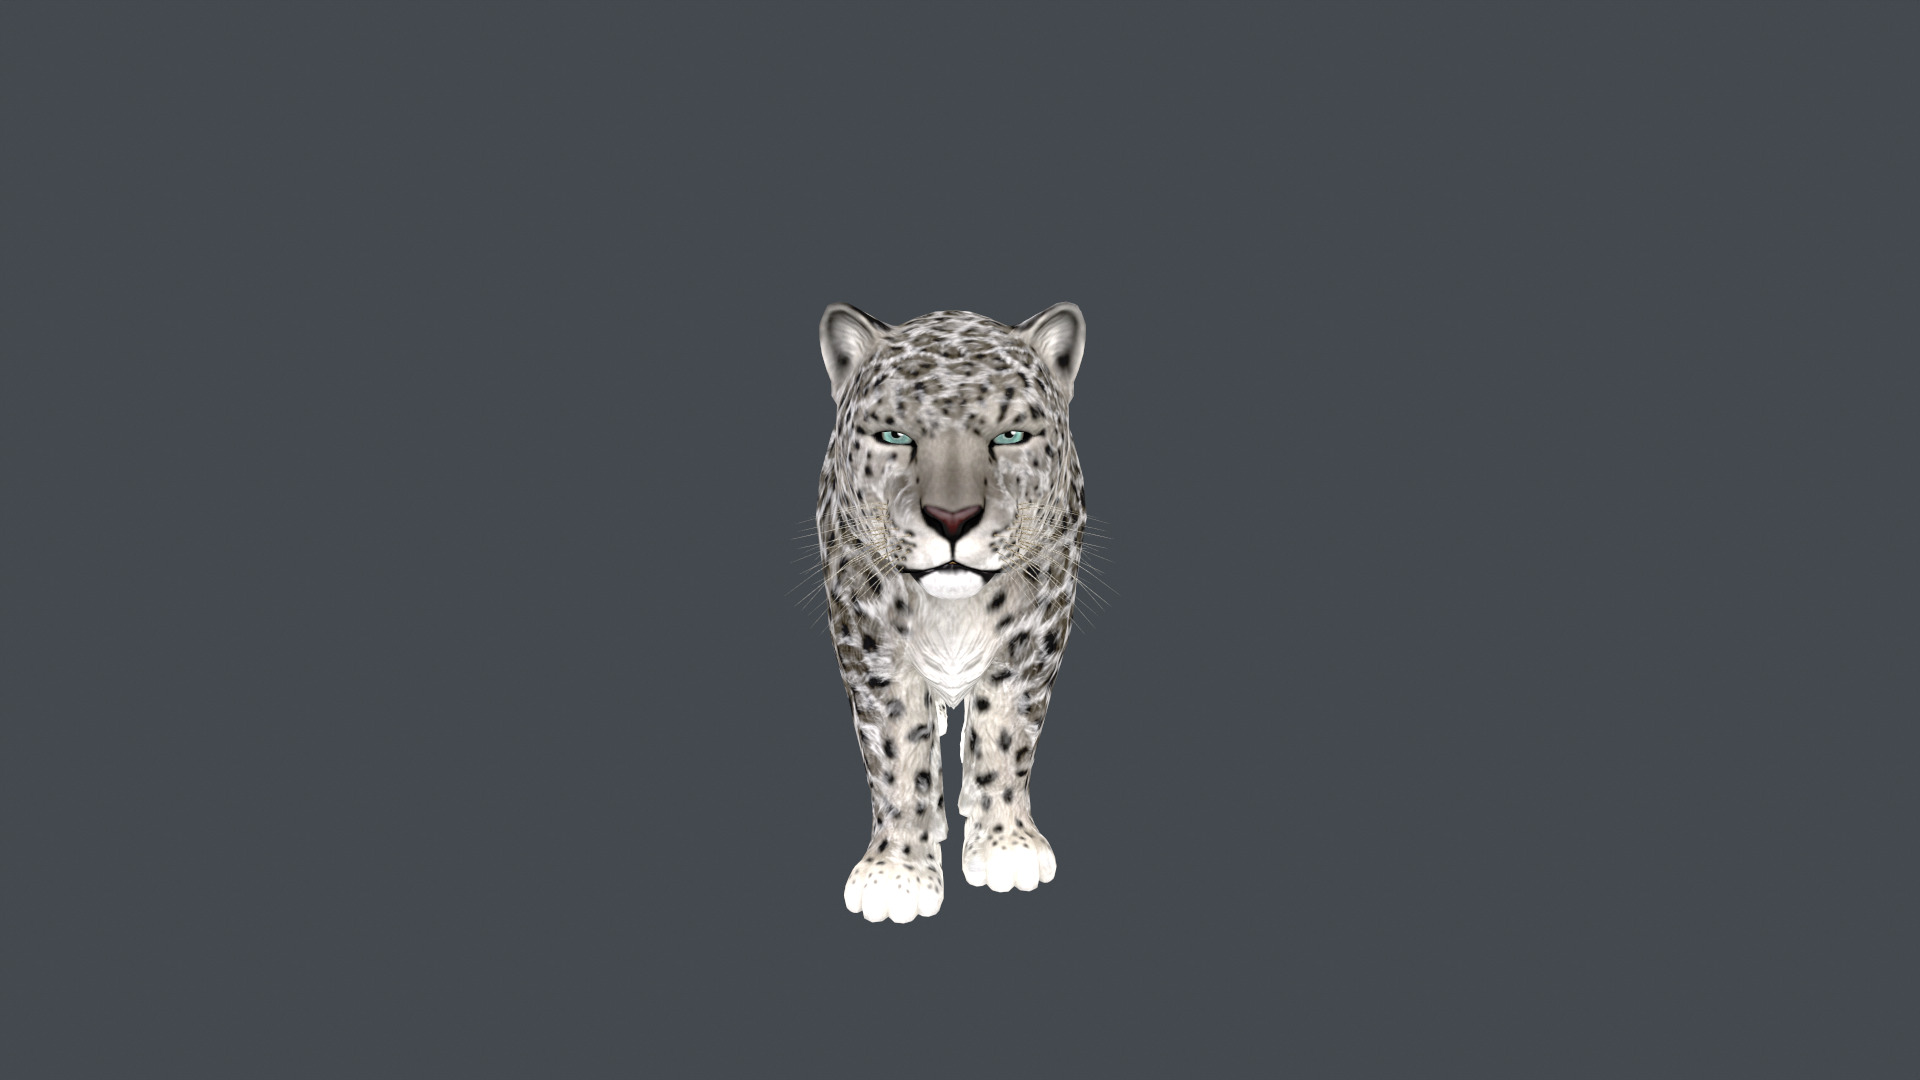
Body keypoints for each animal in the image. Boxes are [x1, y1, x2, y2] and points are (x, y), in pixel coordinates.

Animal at [812, 301, 1090, 923]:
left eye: (1011, 436)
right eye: (894, 435)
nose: (953, 518)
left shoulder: (1034, 629)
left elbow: (1004, 730)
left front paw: (1007, 845)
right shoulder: (870, 638)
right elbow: (897, 749)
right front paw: (897, 872)